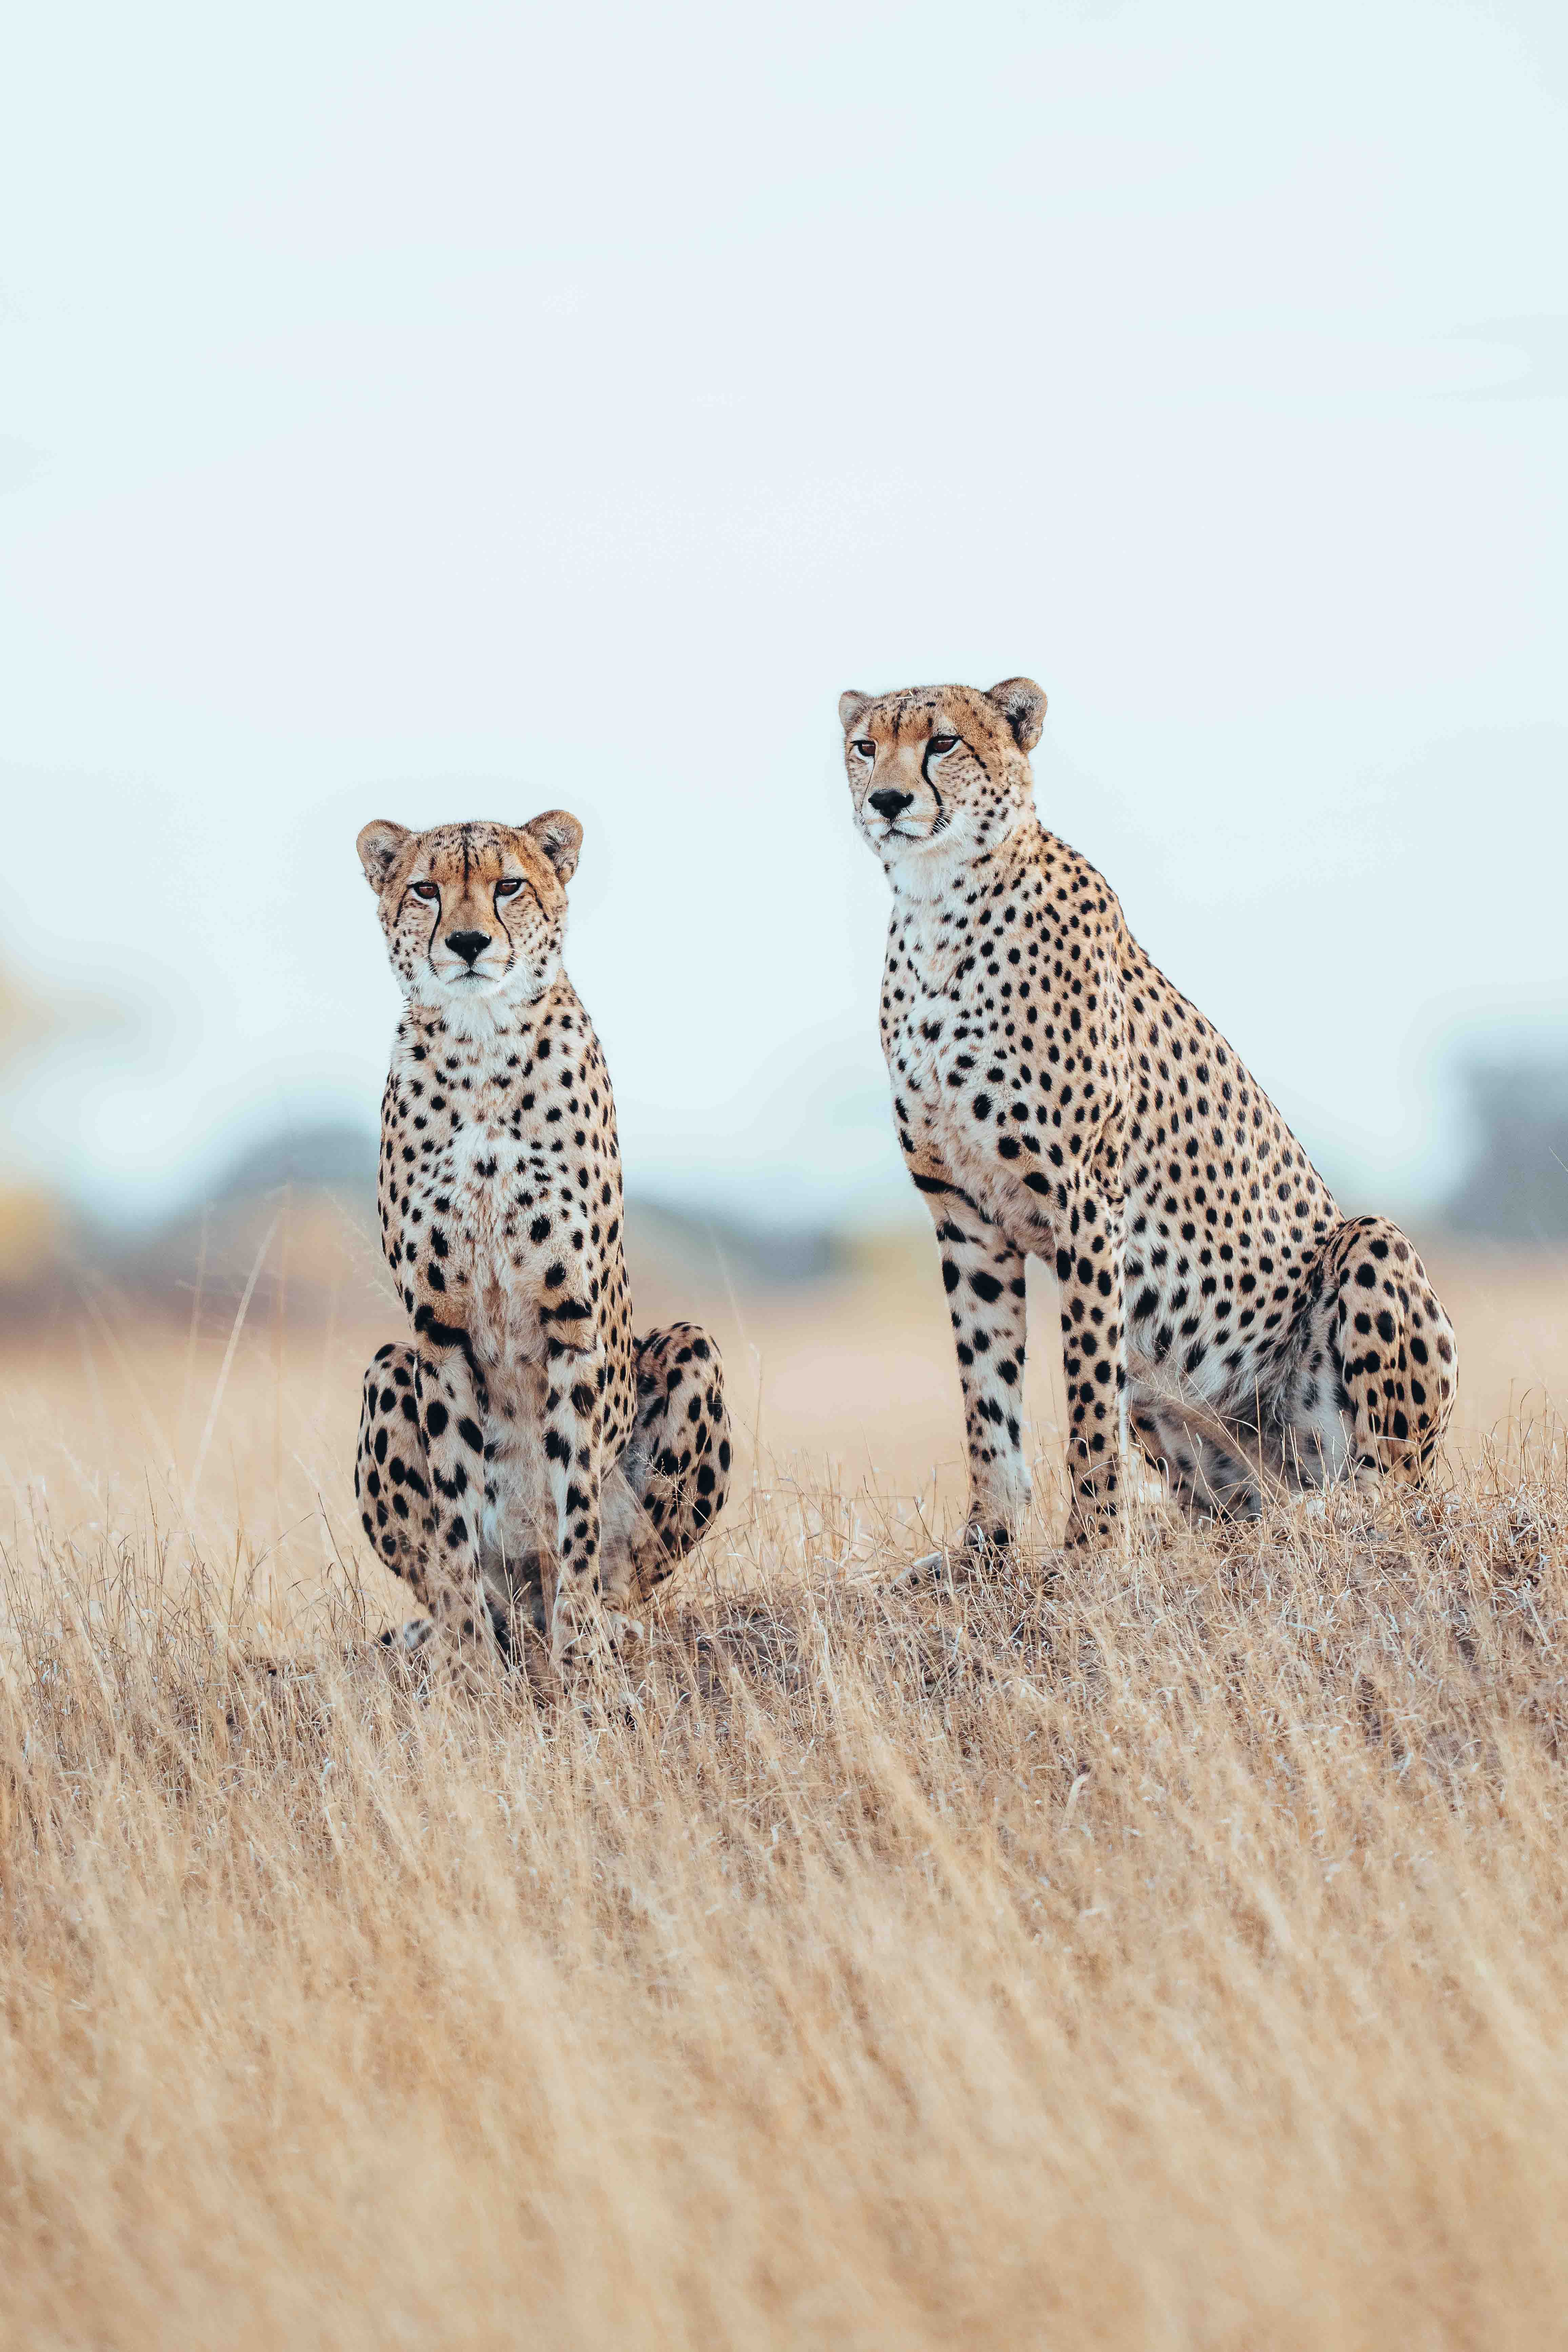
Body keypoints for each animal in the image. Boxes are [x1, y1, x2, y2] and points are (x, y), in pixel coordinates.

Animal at [352, 810, 730, 1671]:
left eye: (508, 886)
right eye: (424, 890)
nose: (466, 943)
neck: (479, 1054)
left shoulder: (571, 1315)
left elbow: (575, 1499)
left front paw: (581, 1642)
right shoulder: (437, 1329)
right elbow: (455, 1510)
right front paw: (468, 1662)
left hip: (691, 1350)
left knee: (627, 1570)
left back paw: (601, 1623)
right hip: (387, 1366)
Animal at [839, 676, 1457, 1563]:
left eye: (943, 742)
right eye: (865, 747)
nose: (887, 800)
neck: (936, 908)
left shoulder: (1084, 1204)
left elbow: (1085, 1400)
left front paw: (1091, 1549)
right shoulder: (962, 1214)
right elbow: (985, 1398)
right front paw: (981, 1548)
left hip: (1367, 1256)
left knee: (1389, 1494)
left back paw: (1333, 1515)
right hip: (1206, 1451)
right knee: (1237, 1507)